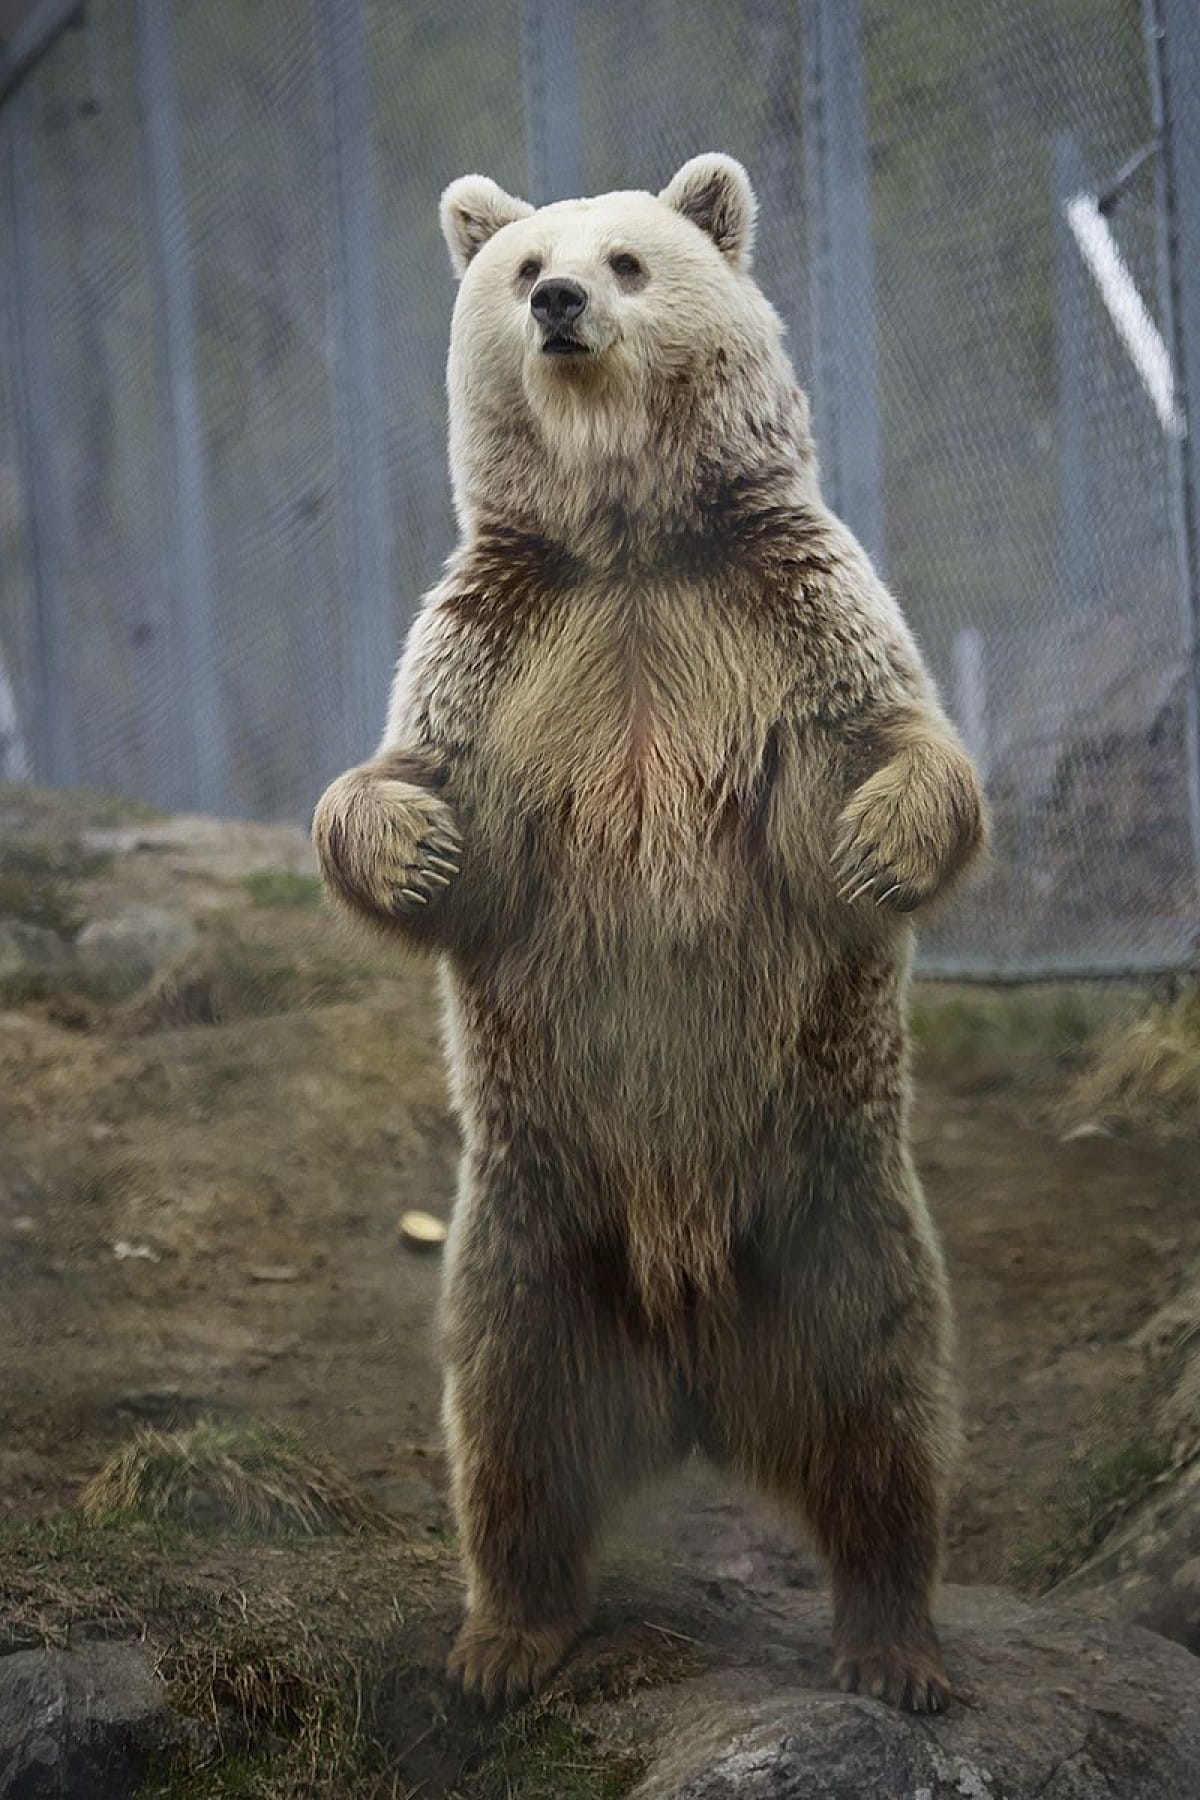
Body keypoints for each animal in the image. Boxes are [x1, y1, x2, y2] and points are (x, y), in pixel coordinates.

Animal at [314, 154, 993, 1713]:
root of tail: (693, 1378)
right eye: (522, 267)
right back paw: (504, 1637)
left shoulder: (780, 616)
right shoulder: (507, 650)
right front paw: (409, 839)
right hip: (537, 1231)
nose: (561, 301)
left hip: (830, 1218)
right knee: (510, 1428)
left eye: (629, 258)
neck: (627, 539)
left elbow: (900, 741)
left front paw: (880, 835)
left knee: (887, 1420)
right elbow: (412, 786)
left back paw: (897, 1645)